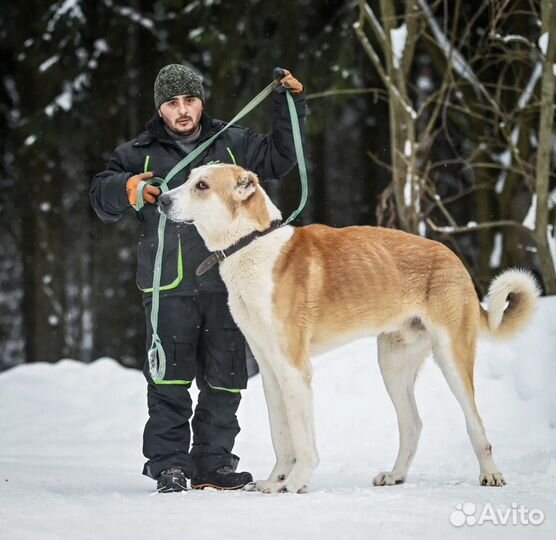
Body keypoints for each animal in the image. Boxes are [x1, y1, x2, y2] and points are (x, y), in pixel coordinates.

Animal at [157, 163, 540, 494]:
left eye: (202, 186)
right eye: (189, 178)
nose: (160, 200)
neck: (251, 243)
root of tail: (452, 257)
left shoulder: (295, 370)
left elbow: (300, 438)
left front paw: (296, 482)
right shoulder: (270, 370)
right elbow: (281, 435)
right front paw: (275, 481)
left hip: (451, 356)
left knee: (475, 423)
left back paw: (490, 474)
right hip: (392, 364)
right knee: (412, 424)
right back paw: (396, 475)